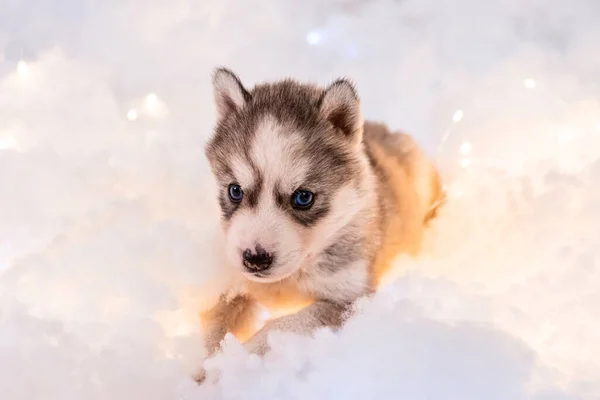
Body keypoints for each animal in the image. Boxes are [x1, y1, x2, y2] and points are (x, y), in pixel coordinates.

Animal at [199, 68, 442, 378]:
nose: (254, 259)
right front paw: (195, 369)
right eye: (235, 190)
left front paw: (234, 363)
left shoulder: (348, 300)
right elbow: (212, 329)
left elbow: (282, 327)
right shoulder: (231, 282)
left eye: (303, 197)